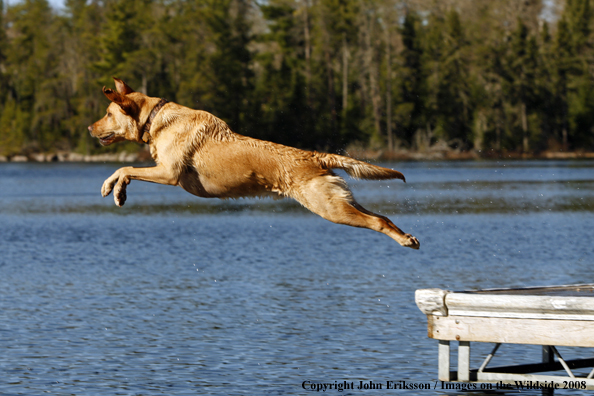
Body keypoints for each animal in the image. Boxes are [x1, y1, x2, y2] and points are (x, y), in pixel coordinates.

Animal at [88, 78, 418, 249]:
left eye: (107, 113)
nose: (89, 128)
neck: (155, 120)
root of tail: (314, 155)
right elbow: (126, 171)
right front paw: (119, 192)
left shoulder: (168, 174)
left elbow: (124, 169)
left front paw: (112, 188)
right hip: (340, 200)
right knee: (382, 216)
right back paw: (407, 236)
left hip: (329, 207)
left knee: (376, 221)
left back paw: (404, 241)